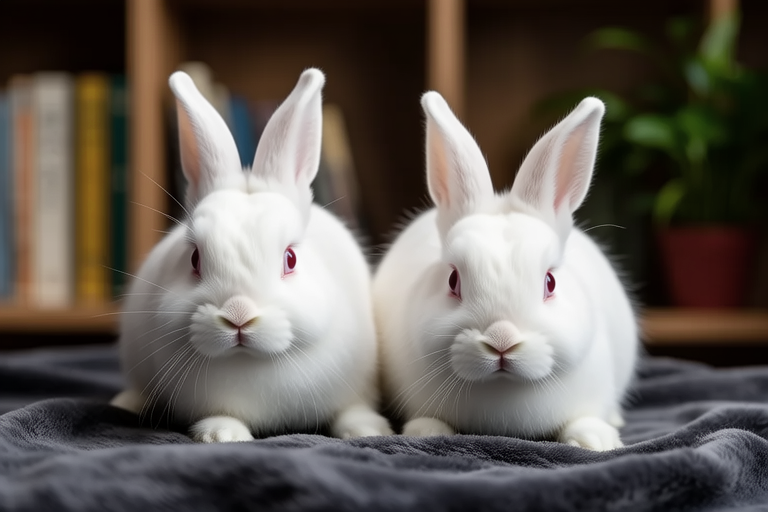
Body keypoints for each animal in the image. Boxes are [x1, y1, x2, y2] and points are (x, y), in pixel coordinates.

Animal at [110, 68, 393, 442]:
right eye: (194, 259)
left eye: (290, 259)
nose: (238, 315)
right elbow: (220, 416)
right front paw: (222, 435)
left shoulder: (356, 387)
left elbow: (353, 409)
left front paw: (369, 430)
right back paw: (125, 403)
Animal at [373, 92, 638, 451]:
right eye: (453, 280)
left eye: (550, 282)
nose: (502, 340)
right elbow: (427, 420)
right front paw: (425, 433)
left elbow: (584, 419)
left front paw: (595, 440)